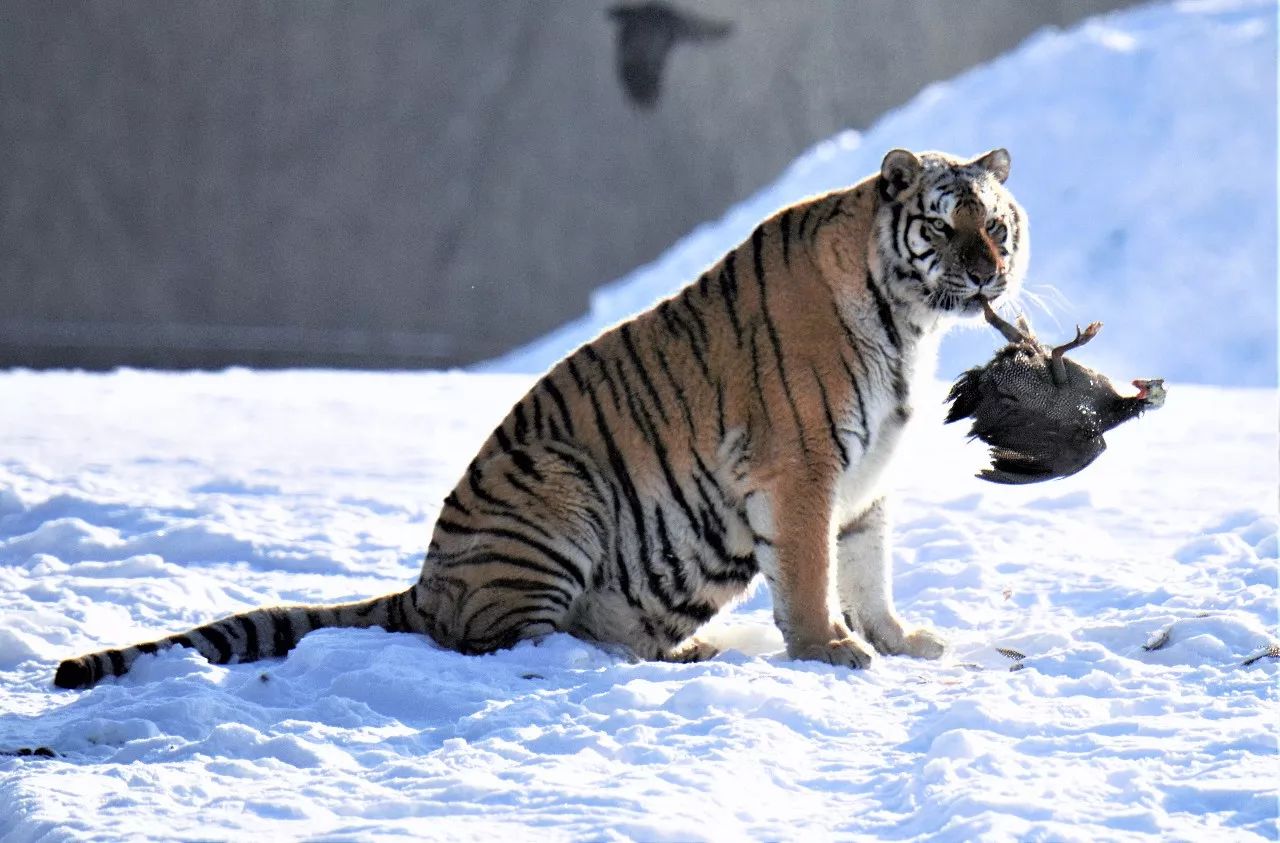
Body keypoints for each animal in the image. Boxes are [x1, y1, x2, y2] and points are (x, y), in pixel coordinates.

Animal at [52, 148, 1029, 690]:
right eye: (943, 225)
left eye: (997, 226)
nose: (988, 272)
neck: (910, 325)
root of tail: (424, 583)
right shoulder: (803, 468)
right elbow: (815, 573)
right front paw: (831, 649)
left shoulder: (866, 478)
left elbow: (868, 570)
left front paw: (901, 642)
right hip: (559, 485)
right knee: (507, 639)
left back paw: (687, 652)